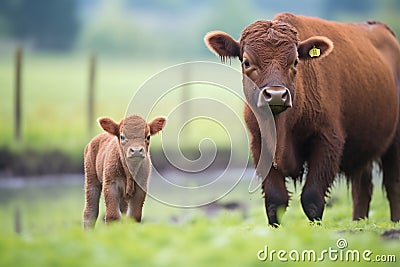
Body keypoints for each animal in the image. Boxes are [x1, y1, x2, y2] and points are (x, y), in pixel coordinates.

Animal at [206, 12, 400, 226]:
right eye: (247, 62)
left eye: (295, 61)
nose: (276, 95)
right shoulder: (260, 145)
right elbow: (275, 200)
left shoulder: (328, 141)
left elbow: (312, 198)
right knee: (362, 188)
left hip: (394, 143)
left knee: (393, 185)